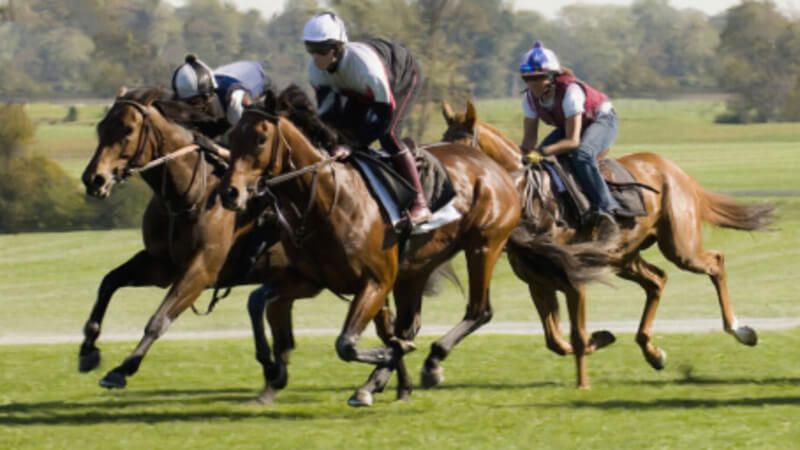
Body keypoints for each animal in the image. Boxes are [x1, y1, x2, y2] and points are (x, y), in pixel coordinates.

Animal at [217, 87, 532, 404]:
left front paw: (388, 358)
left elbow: (347, 343)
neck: (328, 200)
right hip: (415, 269)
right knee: (409, 325)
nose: (230, 193)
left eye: (260, 138)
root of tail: (492, 165)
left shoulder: (375, 282)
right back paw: (377, 381)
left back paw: (428, 363)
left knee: (479, 311)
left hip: (484, 246)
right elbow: (257, 301)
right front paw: (273, 368)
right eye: (233, 135)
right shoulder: (309, 280)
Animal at [440, 100, 780, 388]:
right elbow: (555, 340)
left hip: (680, 246)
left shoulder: (574, 278)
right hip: (622, 257)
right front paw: (601, 339)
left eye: (461, 146)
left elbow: (576, 335)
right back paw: (652, 352)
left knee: (714, 262)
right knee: (657, 280)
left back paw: (740, 330)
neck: (530, 197)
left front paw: (583, 383)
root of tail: (673, 169)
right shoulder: (537, 282)